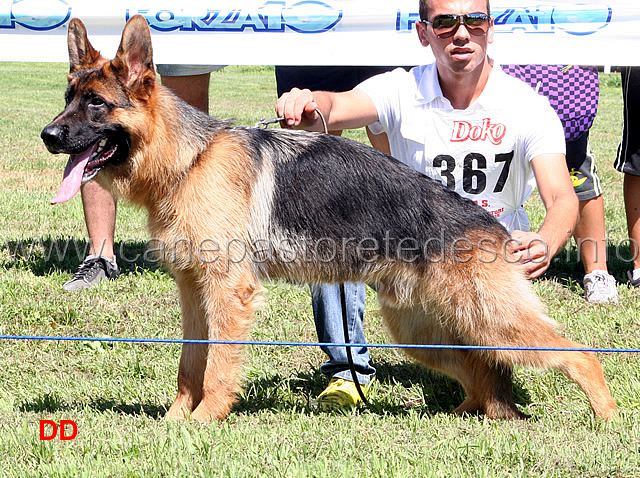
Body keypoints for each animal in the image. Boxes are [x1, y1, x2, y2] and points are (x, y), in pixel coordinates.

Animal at [40, 16, 616, 422]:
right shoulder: (193, 292)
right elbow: (190, 364)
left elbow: (219, 366)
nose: (48, 136)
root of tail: (491, 226)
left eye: (96, 105)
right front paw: (175, 421)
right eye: (67, 99)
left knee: (578, 353)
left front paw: (205, 420)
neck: (188, 160)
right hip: (419, 328)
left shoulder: (227, 292)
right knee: (479, 366)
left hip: (494, 319)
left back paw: (606, 417)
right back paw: (471, 412)